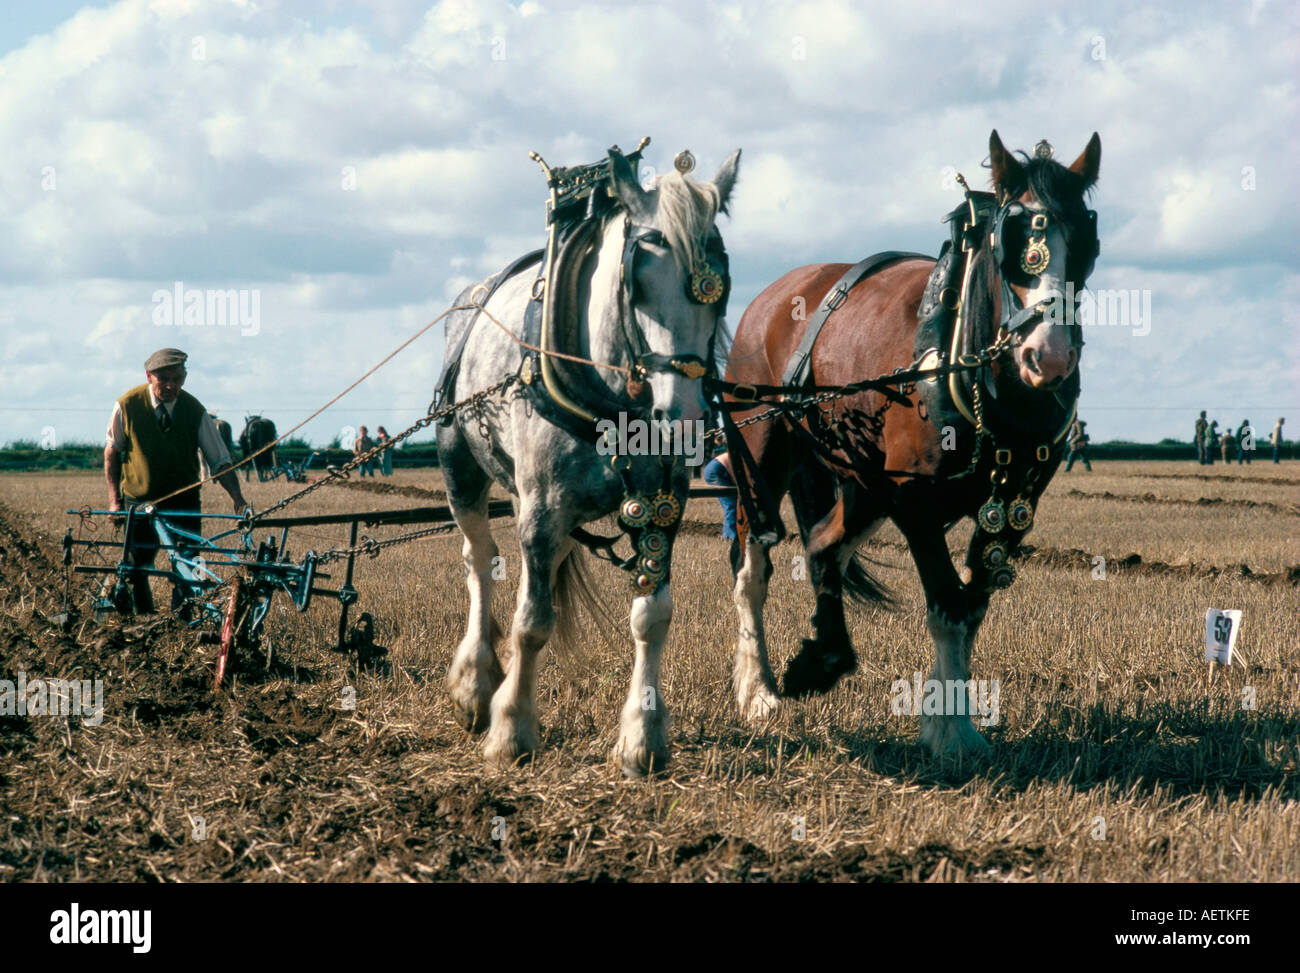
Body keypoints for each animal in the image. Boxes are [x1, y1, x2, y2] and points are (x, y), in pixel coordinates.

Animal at [439, 148, 738, 780]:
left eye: (720, 287)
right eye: (638, 282)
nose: (682, 417)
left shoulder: (662, 506)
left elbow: (652, 616)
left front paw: (642, 739)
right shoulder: (542, 509)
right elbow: (531, 622)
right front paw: (511, 730)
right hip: (461, 468)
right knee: (479, 560)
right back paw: (476, 683)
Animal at [728, 129, 1102, 759]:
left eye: (1086, 242)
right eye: (1012, 241)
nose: (1048, 357)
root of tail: (778, 293)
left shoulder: (1012, 508)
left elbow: (971, 607)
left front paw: (950, 720)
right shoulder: (915, 501)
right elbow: (948, 605)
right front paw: (952, 732)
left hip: (862, 482)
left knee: (824, 545)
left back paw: (824, 658)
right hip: (762, 454)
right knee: (753, 567)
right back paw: (758, 692)